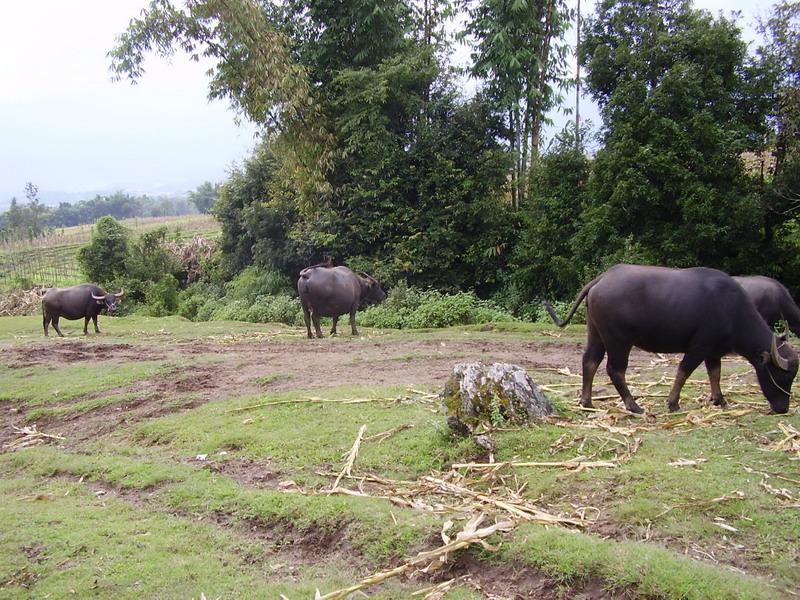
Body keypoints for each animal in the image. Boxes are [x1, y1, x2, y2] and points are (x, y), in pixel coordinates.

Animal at [540, 264, 796, 414]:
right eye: (781, 375)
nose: (782, 409)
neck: (733, 309)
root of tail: (602, 279)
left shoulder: (713, 351)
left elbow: (715, 373)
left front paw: (719, 400)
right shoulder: (699, 347)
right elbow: (684, 371)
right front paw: (673, 403)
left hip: (595, 333)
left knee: (590, 362)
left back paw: (587, 401)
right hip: (618, 340)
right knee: (615, 369)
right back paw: (634, 405)